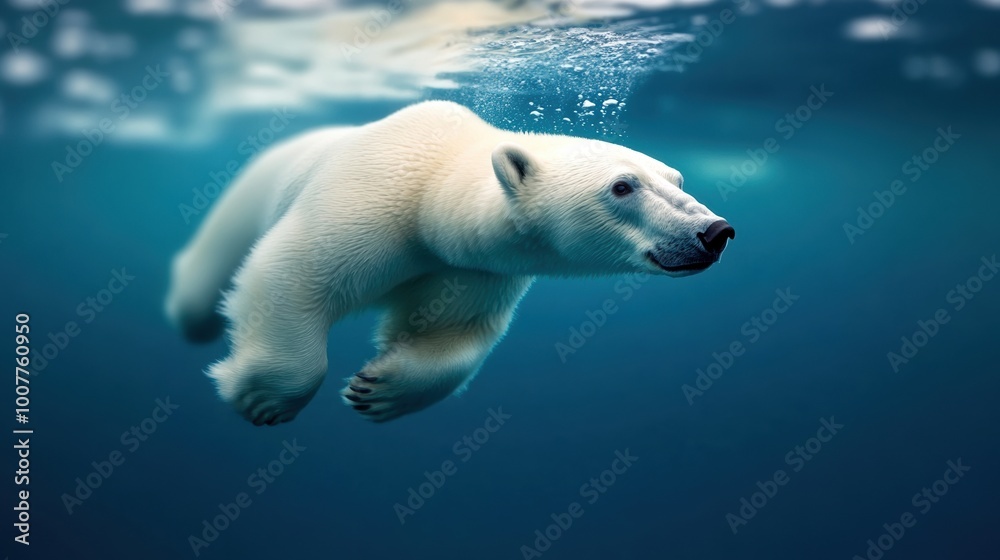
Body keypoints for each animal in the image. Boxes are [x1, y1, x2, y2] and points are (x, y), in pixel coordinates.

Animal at [165, 100, 735, 426]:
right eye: (622, 186)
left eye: (677, 179)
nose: (714, 232)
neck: (431, 189)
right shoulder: (369, 202)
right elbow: (295, 271)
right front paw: (263, 399)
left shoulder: (470, 267)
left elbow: (455, 331)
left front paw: (379, 390)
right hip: (251, 193)